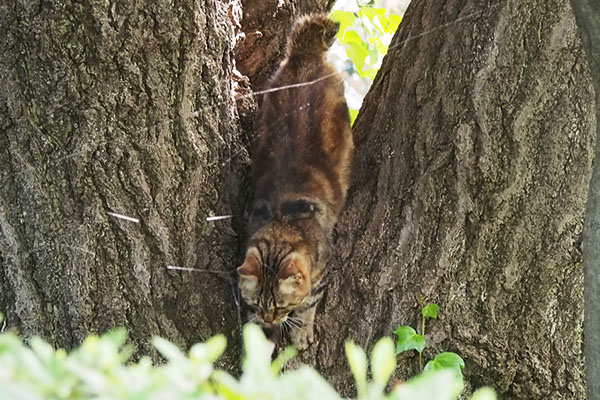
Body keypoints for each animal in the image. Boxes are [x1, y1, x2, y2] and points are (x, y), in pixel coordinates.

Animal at [238, 13, 354, 350]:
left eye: (281, 306)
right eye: (256, 305)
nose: (268, 319)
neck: (283, 221)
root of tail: (304, 57)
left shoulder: (323, 270)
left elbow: (310, 304)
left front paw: (300, 330)